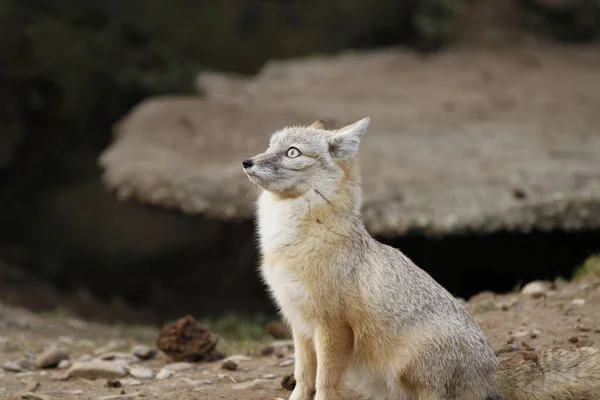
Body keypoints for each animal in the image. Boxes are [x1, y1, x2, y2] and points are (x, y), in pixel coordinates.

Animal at [241, 116, 596, 400]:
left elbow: (325, 384)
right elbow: (303, 379)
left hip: (407, 364)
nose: (247, 161)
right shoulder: (299, 325)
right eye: (269, 145)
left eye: (292, 152)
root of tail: (491, 367)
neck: (293, 238)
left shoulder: (332, 327)